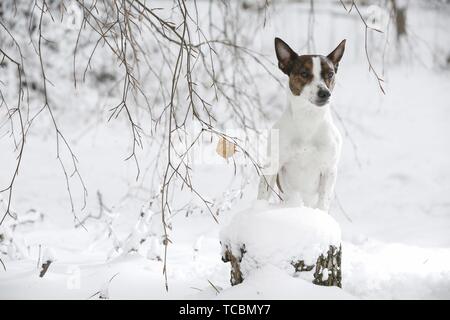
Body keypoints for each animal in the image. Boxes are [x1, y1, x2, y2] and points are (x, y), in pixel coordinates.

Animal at [256, 37, 344, 211]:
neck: (308, 119)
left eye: (330, 74)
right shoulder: (273, 165)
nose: (325, 93)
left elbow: (323, 203)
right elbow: (263, 194)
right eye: (304, 74)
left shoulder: (329, 169)